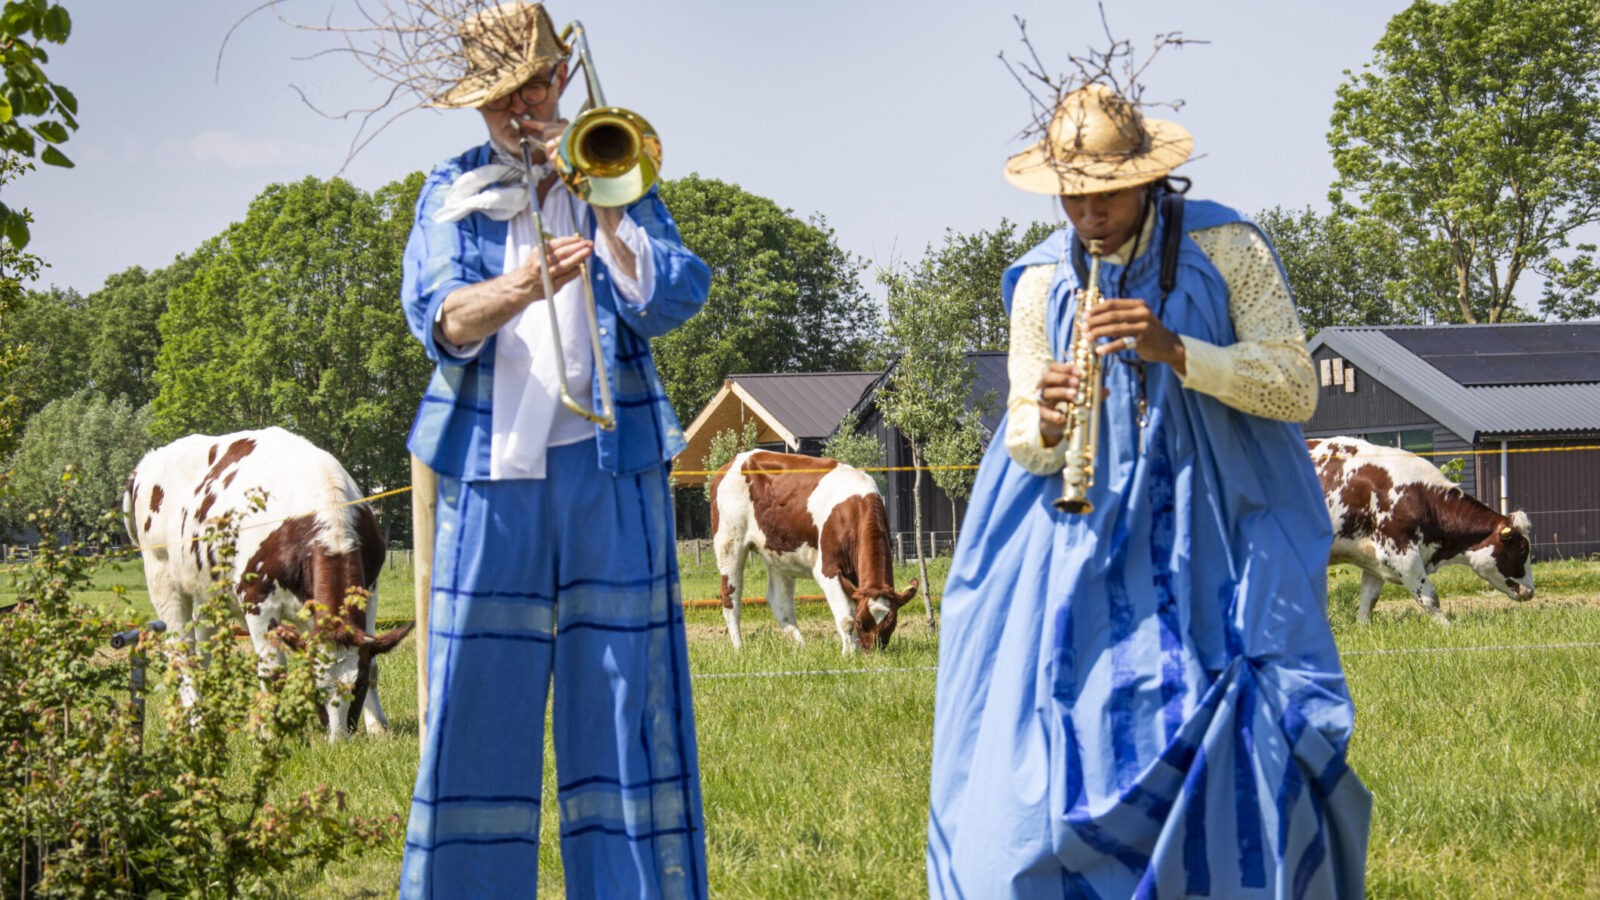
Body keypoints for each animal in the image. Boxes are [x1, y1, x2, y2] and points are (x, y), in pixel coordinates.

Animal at [125, 425, 412, 736]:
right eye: (315, 687)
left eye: (357, 687)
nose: (339, 738)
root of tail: (147, 462)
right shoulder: (256, 600)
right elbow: (273, 671)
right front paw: (270, 732)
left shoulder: (369, 593)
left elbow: (373, 663)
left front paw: (379, 728)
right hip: (164, 581)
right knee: (182, 655)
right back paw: (198, 723)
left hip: (207, 595)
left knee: (203, 655)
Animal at [710, 448, 921, 650]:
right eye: (861, 623)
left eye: (891, 625)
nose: (872, 653)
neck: (853, 508)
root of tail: (737, 460)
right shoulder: (828, 570)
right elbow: (846, 619)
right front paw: (850, 654)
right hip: (729, 542)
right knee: (730, 598)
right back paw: (739, 649)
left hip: (778, 553)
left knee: (780, 603)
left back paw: (802, 650)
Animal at [1312, 435, 1536, 624]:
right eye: (1522, 550)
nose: (1531, 591)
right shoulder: (1402, 554)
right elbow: (1430, 597)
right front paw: (1447, 628)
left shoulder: (1373, 560)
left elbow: (1368, 600)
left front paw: (1362, 628)